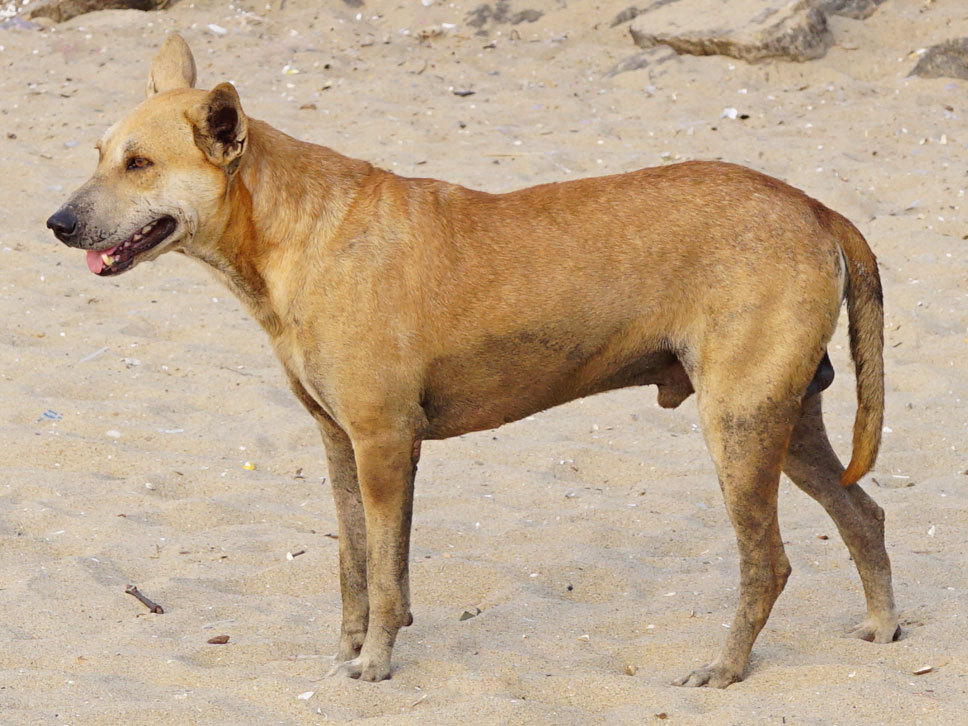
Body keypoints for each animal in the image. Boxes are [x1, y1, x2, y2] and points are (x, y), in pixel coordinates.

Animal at [47, 37, 900, 692]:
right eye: (99, 155)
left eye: (139, 163)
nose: (56, 223)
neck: (295, 232)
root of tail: (814, 207)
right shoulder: (342, 444)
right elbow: (359, 564)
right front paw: (349, 646)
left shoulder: (383, 444)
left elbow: (384, 575)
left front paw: (375, 663)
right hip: (784, 424)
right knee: (863, 515)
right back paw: (883, 625)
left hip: (739, 429)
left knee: (769, 563)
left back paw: (723, 670)